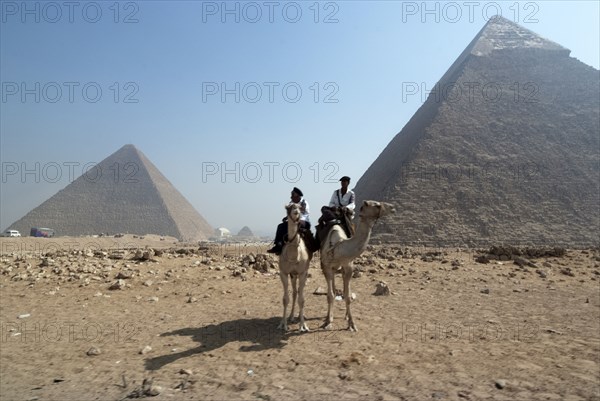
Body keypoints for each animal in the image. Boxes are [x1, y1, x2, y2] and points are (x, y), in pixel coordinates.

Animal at [278, 203, 314, 332]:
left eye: (300, 207)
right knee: (294, 292)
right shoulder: (283, 272)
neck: (294, 255)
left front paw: (303, 326)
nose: (296, 212)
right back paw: (291, 316)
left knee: (298, 293)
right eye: (288, 207)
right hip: (293, 274)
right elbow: (285, 299)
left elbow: (302, 300)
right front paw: (283, 324)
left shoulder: (303, 272)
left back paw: (299, 316)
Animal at [322, 198, 396, 330]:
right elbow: (330, 295)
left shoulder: (348, 266)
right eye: (377, 205)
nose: (393, 207)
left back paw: (346, 316)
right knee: (333, 291)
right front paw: (328, 321)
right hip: (332, 268)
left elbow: (347, 295)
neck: (339, 247)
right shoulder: (326, 267)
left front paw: (351, 324)